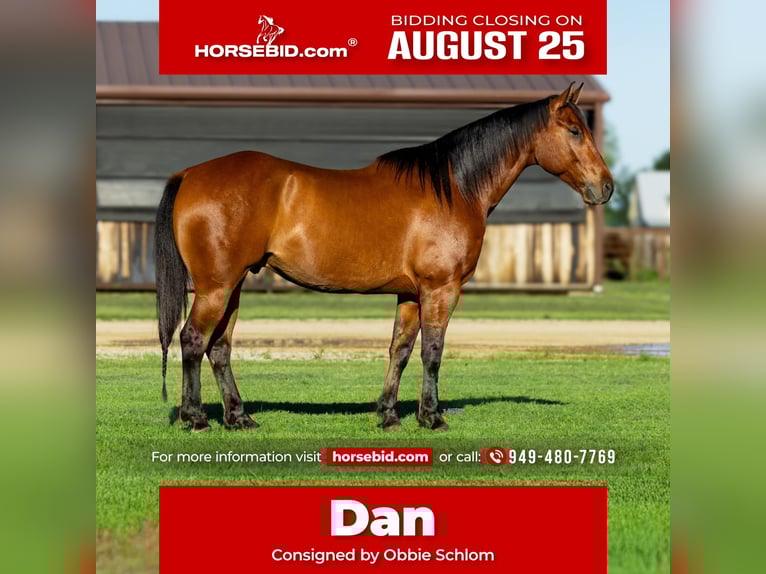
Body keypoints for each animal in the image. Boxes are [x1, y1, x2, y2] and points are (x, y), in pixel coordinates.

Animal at [155, 83, 613, 432]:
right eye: (574, 130)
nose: (605, 187)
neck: (454, 188)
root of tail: (190, 174)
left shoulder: (410, 294)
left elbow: (401, 349)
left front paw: (389, 415)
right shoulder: (440, 290)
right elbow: (433, 352)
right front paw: (432, 418)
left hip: (231, 287)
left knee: (219, 348)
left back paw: (238, 417)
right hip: (216, 288)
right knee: (193, 340)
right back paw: (196, 418)